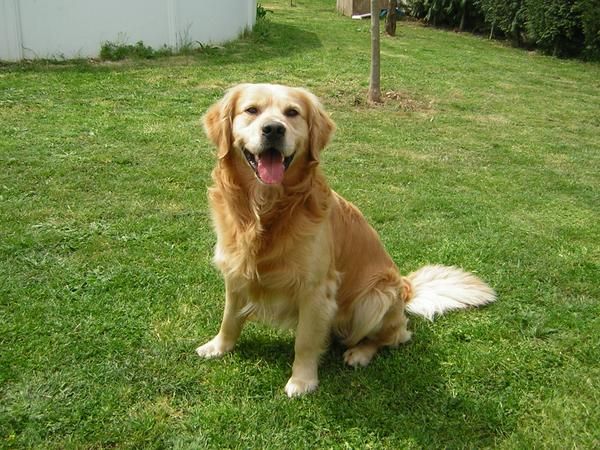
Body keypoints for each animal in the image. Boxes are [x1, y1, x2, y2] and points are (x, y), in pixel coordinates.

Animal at [197, 82, 496, 396]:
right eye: (251, 110)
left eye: (292, 113)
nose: (274, 129)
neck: (267, 209)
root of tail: (405, 289)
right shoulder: (235, 271)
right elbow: (230, 317)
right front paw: (218, 346)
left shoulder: (317, 289)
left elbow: (305, 341)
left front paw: (302, 380)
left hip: (375, 299)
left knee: (395, 336)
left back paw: (360, 353)